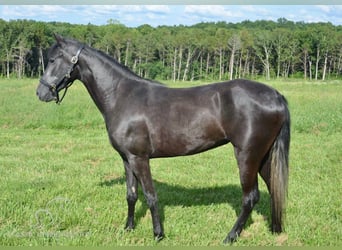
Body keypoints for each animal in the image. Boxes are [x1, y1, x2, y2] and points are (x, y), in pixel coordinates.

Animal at [36, 34, 290, 243]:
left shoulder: (140, 158)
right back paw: (275, 230)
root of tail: (275, 95)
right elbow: (131, 195)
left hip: (247, 155)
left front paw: (158, 234)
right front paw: (128, 228)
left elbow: (150, 196)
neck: (122, 96)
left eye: (53, 59)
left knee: (250, 197)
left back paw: (230, 237)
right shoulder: (126, 158)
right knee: (272, 190)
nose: (41, 93)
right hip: (264, 157)